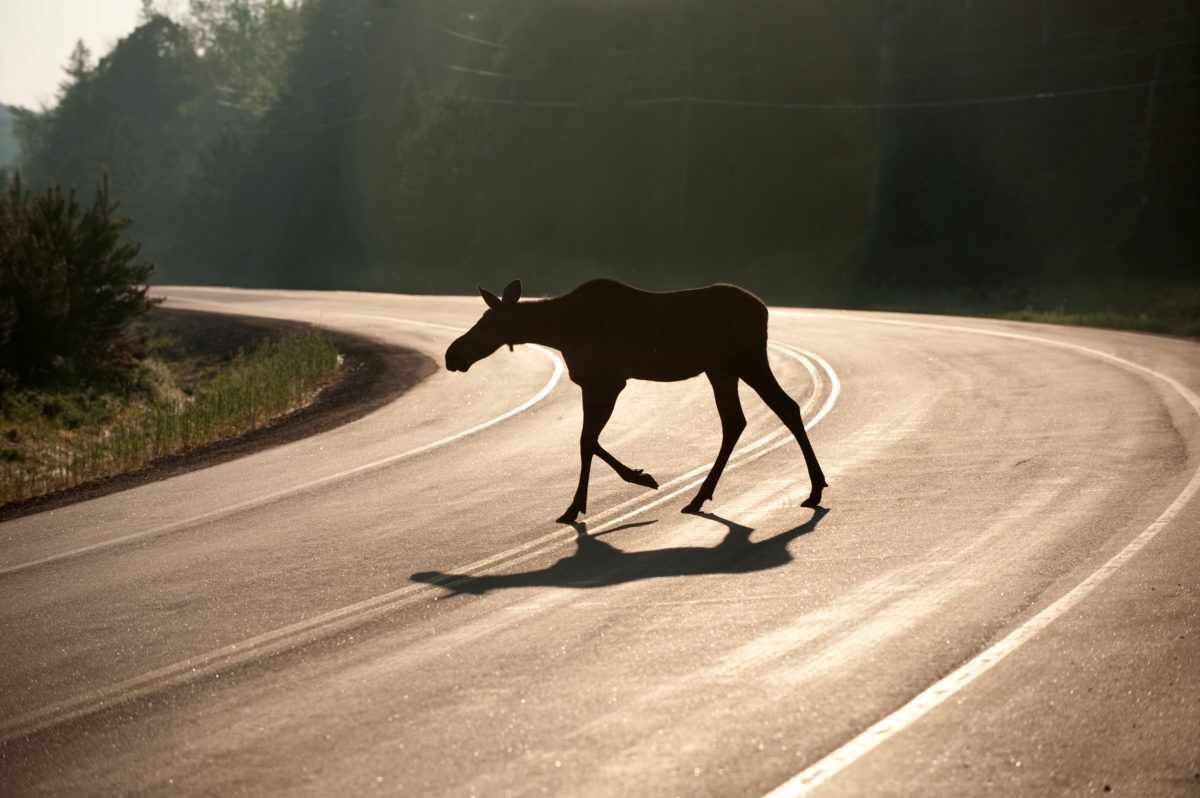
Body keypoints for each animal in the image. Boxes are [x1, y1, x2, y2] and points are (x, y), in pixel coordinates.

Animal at [444, 279, 827, 523]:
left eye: (487, 323)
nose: (452, 355)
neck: (560, 332)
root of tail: (765, 311)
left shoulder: (607, 382)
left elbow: (586, 441)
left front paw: (598, 497)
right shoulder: (597, 384)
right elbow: (588, 441)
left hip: (740, 362)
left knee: (764, 413)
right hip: (728, 368)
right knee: (760, 414)